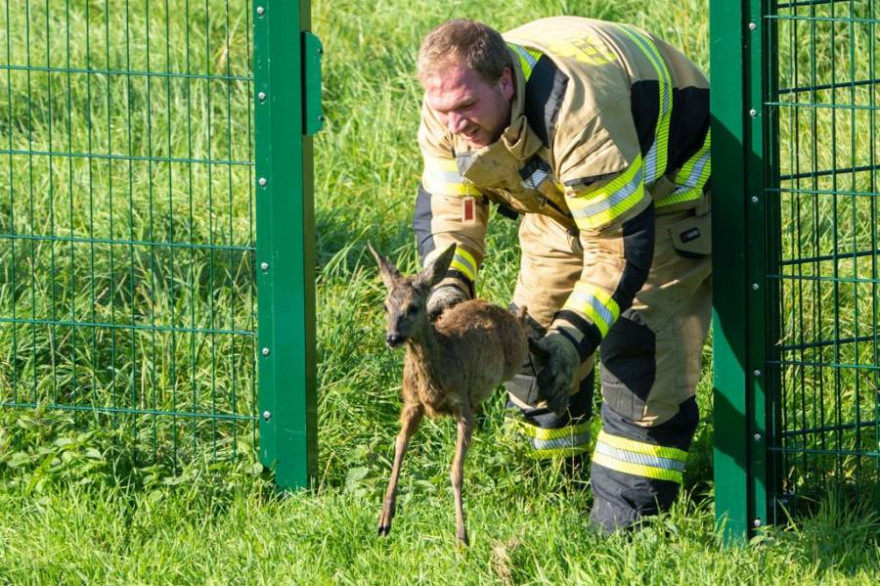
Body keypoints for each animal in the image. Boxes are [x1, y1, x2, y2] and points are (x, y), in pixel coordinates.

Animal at [366, 240, 528, 544]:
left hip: (515, 356)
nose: (392, 338)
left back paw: (526, 317)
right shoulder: (412, 404)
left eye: (414, 307)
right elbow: (399, 447)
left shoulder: (462, 403)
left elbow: (456, 471)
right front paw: (384, 520)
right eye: (385, 306)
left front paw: (462, 537)